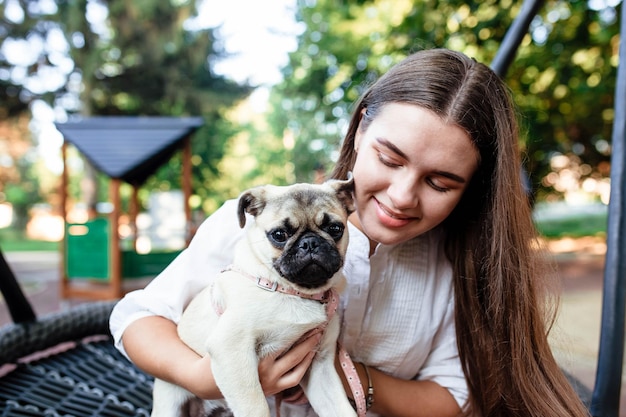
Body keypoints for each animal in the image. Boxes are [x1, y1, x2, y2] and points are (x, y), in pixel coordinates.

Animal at [151, 177, 356, 416]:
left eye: (335, 229)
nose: (310, 243)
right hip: (169, 404)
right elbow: (256, 407)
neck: (292, 291)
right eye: (279, 235)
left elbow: (342, 410)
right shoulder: (232, 347)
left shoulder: (321, 366)